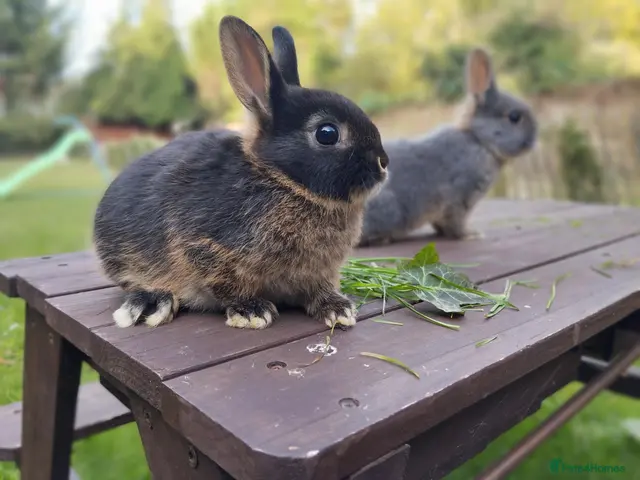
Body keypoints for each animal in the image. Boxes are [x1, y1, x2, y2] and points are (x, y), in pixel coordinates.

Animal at [93, 16, 389, 331]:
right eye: (327, 133)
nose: (383, 162)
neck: (282, 179)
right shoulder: (208, 250)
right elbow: (229, 286)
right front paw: (252, 312)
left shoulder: (318, 273)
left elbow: (318, 290)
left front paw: (338, 309)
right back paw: (157, 301)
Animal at [270, 32, 537, 244]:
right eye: (514, 117)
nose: (534, 141)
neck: (479, 140)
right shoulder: (458, 200)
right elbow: (455, 224)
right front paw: (470, 235)